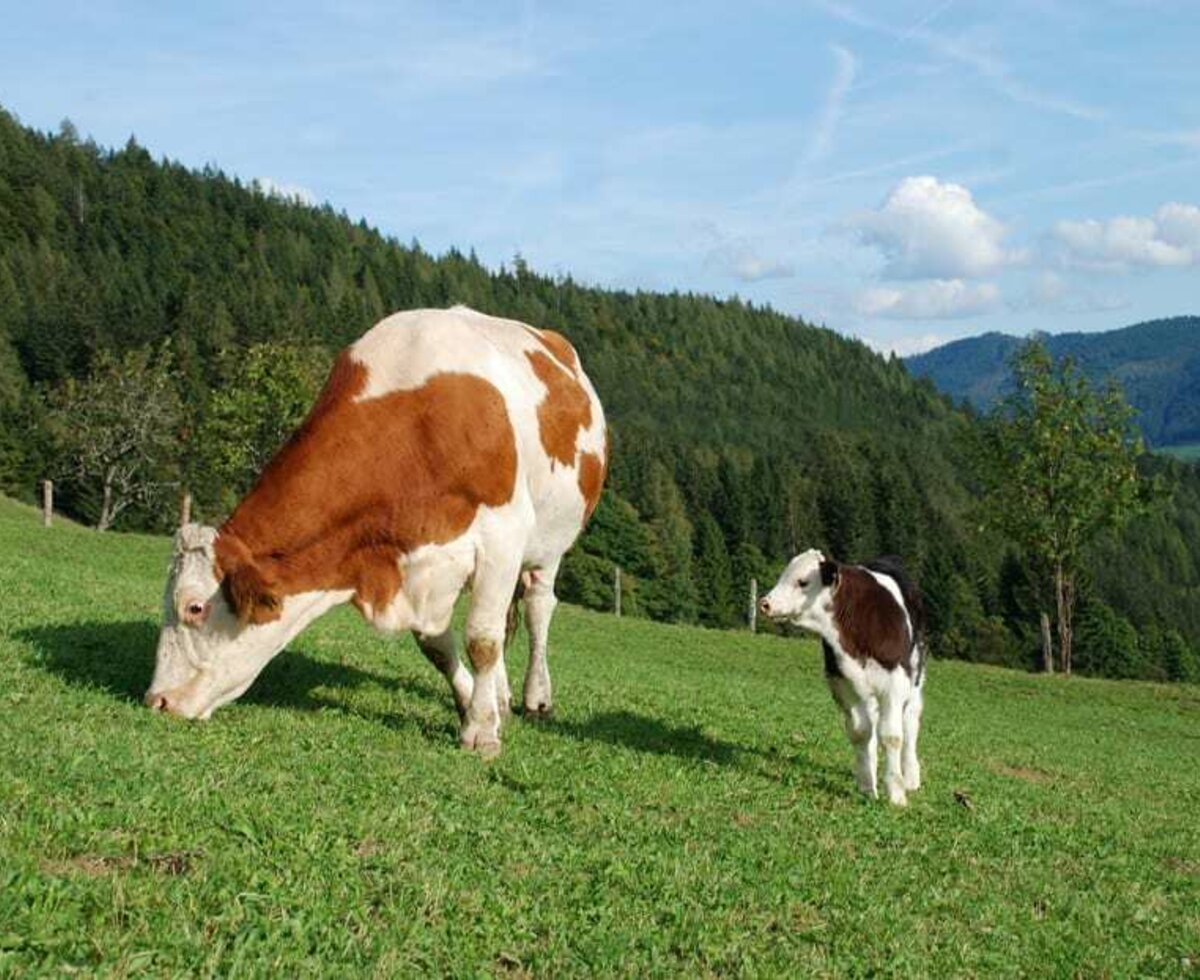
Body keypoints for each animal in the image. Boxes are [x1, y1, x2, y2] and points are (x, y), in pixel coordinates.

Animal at [144, 305, 604, 758]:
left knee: (538, 607)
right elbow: (438, 647)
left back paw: (536, 698)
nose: (156, 701)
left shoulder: (502, 536)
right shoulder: (414, 564)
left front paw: (480, 732)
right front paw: (473, 703)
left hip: (550, 541)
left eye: (194, 608)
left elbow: (481, 640)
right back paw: (502, 698)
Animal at [758, 546, 926, 806]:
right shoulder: (843, 683)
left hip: (915, 677)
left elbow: (892, 736)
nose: (765, 603)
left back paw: (910, 777)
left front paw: (896, 793)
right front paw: (867, 786)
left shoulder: (895, 683)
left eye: (803, 581)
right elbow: (860, 733)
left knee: (910, 722)